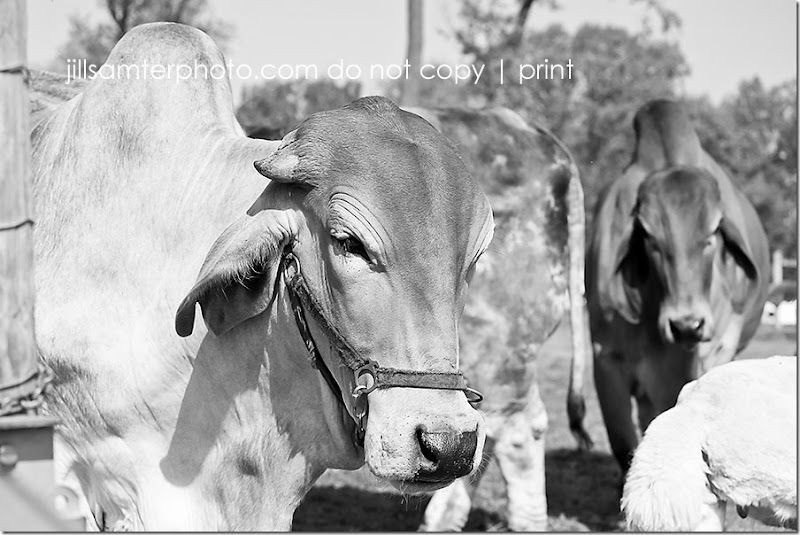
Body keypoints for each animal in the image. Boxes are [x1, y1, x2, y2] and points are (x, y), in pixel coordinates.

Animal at [575, 99, 770, 484]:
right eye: (651, 238)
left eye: (712, 234)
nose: (686, 325)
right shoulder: (607, 359)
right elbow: (624, 446)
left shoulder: (714, 352)